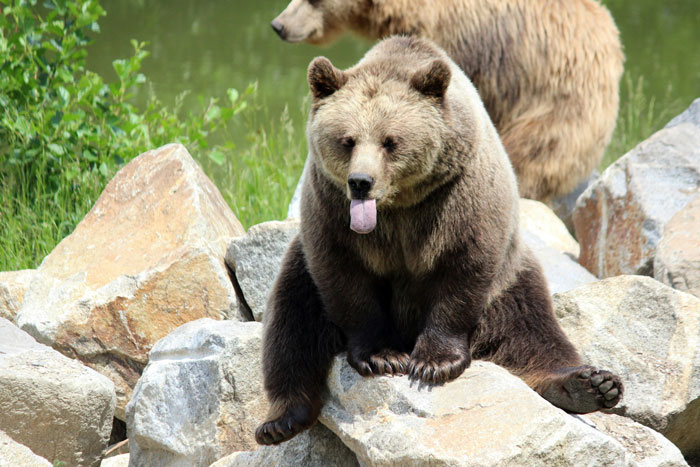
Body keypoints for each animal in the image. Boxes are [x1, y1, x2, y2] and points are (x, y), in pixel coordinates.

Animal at [255, 36, 623, 445]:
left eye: (390, 141)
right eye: (347, 140)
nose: (361, 182)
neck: (399, 204)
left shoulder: (457, 200)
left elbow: (460, 273)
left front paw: (434, 363)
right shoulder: (331, 211)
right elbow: (346, 280)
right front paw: (384, 356)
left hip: (510, 279)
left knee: (533, 329)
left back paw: (592, 384)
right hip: (300, 266)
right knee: (290, 323)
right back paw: (282, 419)